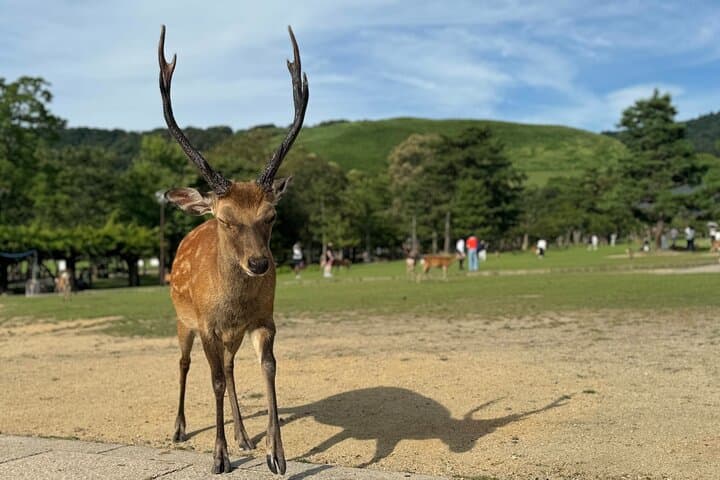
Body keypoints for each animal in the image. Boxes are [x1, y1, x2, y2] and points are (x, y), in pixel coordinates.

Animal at [157, 24, 308, 475]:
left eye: (271, 215)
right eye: (225, 219)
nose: (259, 264)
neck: (234, 303)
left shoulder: (263, 319)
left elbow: (268, 369)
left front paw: (276, 454)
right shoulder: (208, 324)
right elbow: (215, 381)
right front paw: (219, 457)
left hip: (232, 334)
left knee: (229, 364)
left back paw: (243, 435)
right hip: (182, 319)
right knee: (186, 364)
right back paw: (179, 429)